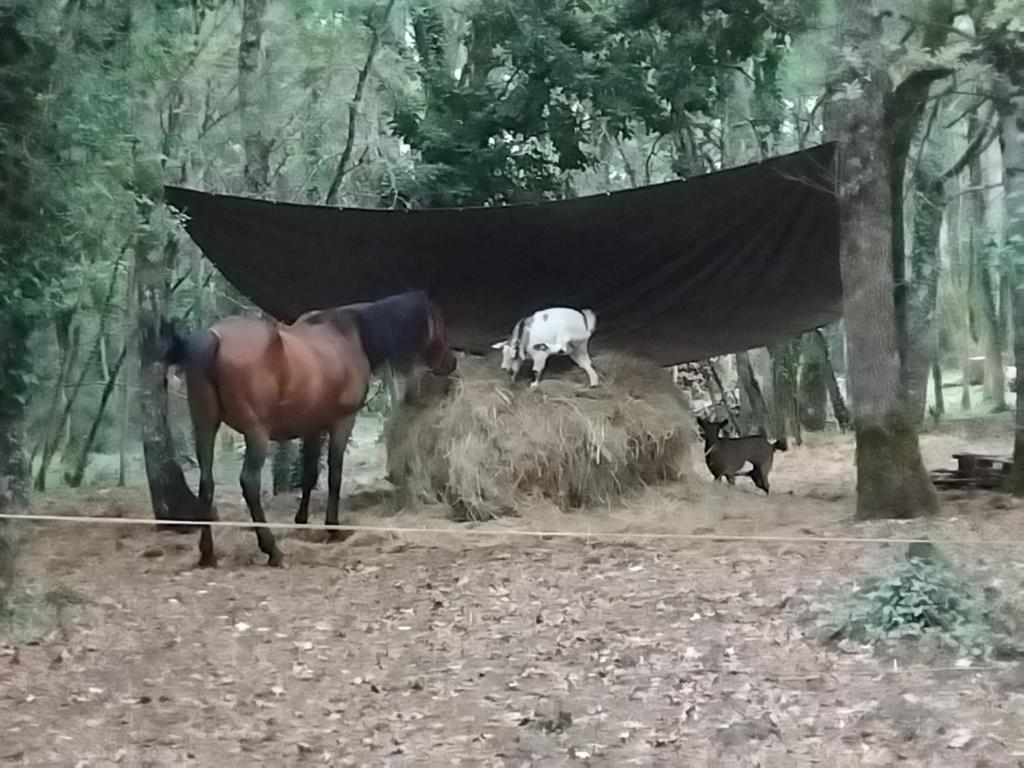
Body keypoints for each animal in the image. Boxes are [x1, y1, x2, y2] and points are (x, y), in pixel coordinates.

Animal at [160, 290, 457, 568]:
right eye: (440, 321)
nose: (451, 362)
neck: (351, 336)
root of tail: (215, 338)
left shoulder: (313, 426)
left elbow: (309, 474)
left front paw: (301, 520)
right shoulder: (341, 422)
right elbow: (334, 475)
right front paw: (332, 528)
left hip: (205, 426)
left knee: (206, 483)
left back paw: (208, 554)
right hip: (256, 434)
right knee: (249, 483)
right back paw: (272, 550)